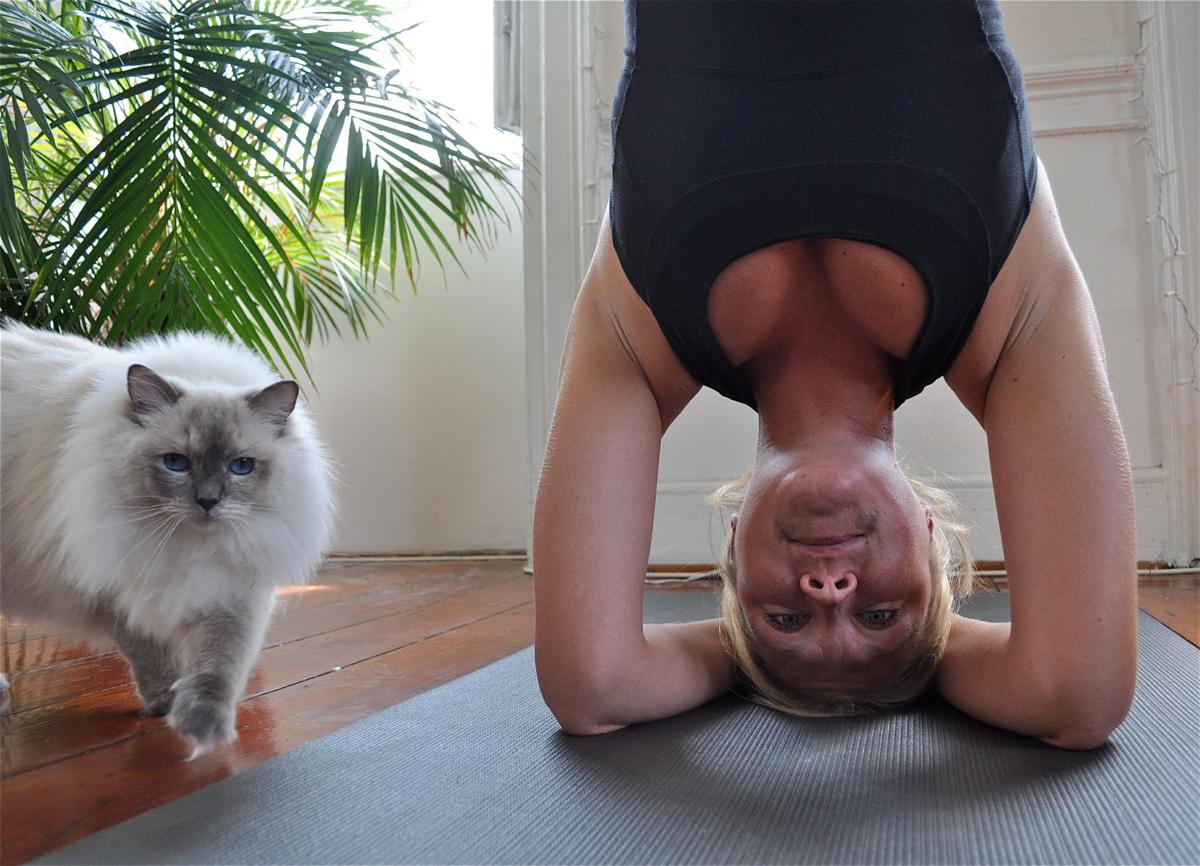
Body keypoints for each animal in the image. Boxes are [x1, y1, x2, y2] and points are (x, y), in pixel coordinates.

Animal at [1, 321, 333, 753]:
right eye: (176, 463)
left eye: (241, 466)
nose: (208, 501)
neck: (189, 548)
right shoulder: (118, 584)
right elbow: (152, 656)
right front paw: (166, 704)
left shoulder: (235, 585)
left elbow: (218, 665)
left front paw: (205, 727)